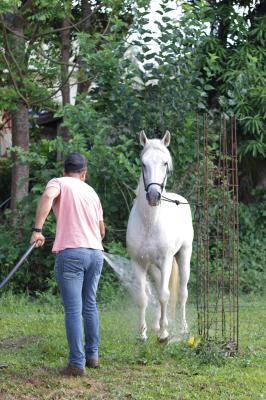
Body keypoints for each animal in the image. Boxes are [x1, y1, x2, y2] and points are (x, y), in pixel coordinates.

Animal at [127, 130, 193, 340]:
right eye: (143, 164)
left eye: (165, 163)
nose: (154, 196)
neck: (149, 223)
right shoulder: (138, 263)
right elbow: (143, 298)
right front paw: (142, 334)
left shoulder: (166, 260)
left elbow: (165, 295)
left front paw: (164, 335)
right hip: (154, 268)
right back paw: (157, 324)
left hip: (183, 256)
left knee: (182, 293)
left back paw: (182, 328)